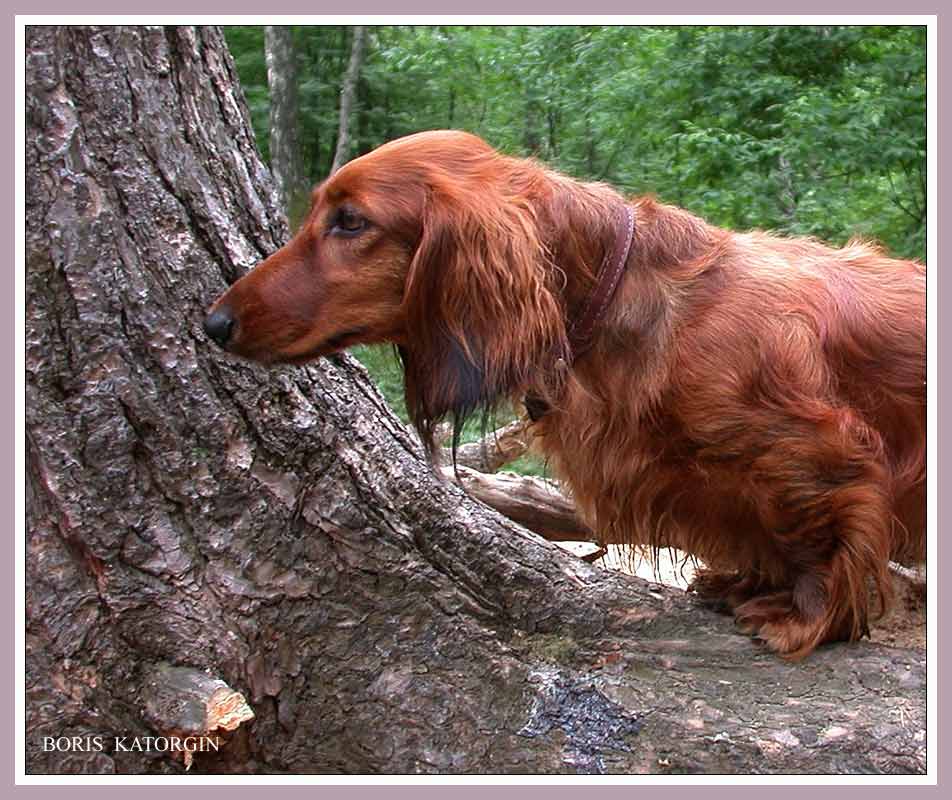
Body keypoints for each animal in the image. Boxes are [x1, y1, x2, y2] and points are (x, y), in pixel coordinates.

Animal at [205, 130, 924, 656]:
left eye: (351, 222)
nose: (214, 323)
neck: (624, 295)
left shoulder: (823, 453)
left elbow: (821, 531)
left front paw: (804, 616)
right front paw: (746, 578)